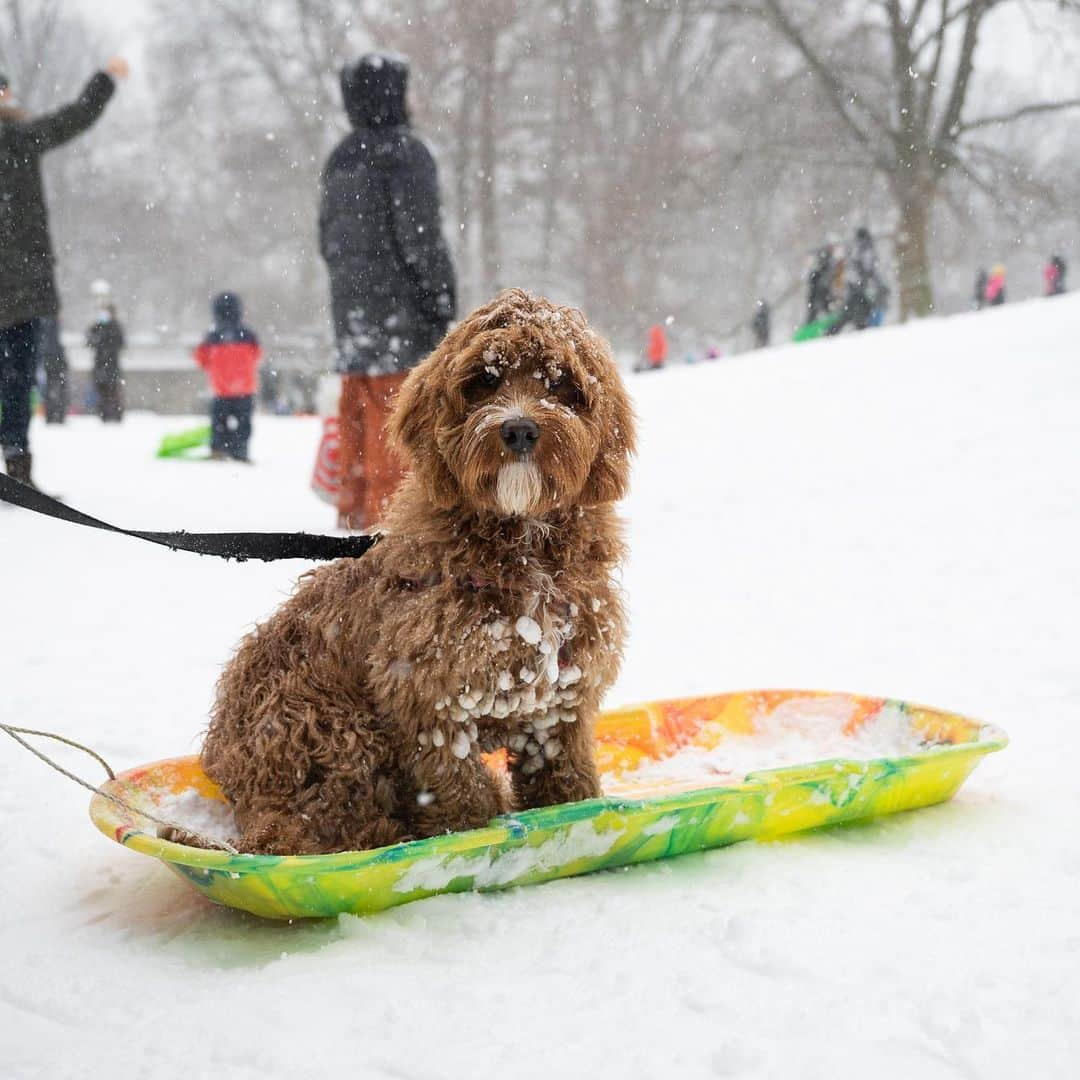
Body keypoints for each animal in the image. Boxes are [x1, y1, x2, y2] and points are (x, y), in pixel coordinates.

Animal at [197, 291, 630, 855]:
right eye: (484, 380)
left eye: (559, 382)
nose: (518, 428)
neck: (521, 543)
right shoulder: (425, 695)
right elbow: (458, 788)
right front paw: (472, 826)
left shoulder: (561, 700)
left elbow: (565, 774)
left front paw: (574, 809)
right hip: (331, 726)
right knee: (340, 825)